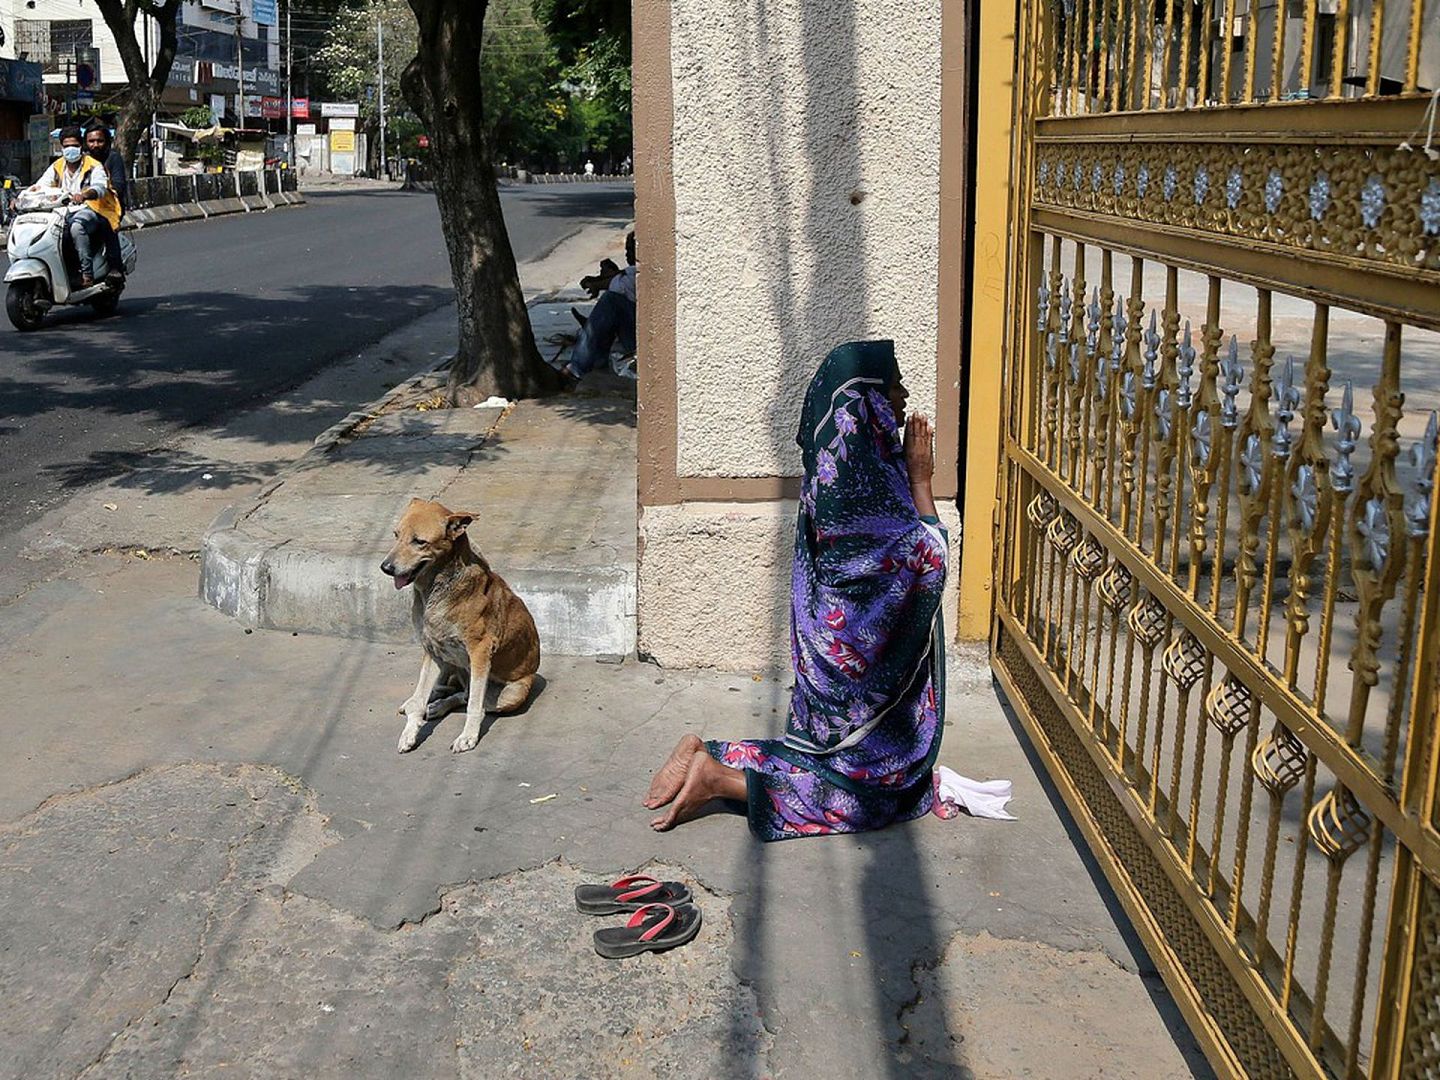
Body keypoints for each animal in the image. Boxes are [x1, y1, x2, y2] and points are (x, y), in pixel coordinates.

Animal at [383, 498, 541, 754]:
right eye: (396, 535)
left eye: (419, 542)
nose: (385, 567)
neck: (435, 590)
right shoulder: (432, 651)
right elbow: (420, 697)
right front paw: (409, 733)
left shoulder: (480, 650)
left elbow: (475, 705)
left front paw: (468, 737)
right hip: (448, 661)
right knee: (454, 690)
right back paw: (430, 700)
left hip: (511, 695)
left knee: (472, 698)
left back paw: (439, 705)